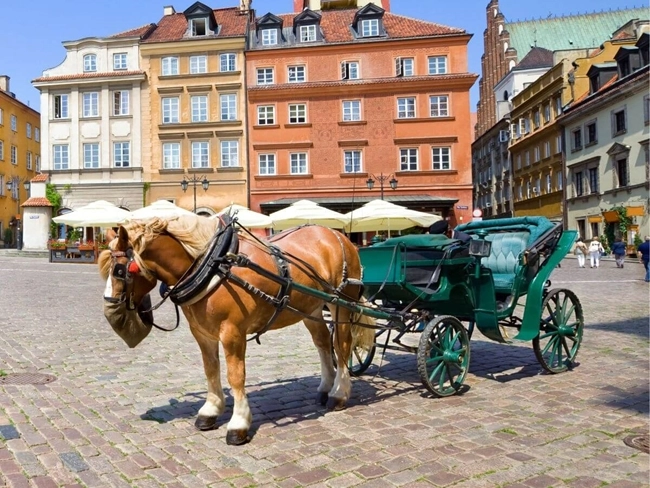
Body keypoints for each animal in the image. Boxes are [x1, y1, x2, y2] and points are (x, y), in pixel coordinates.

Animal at [98, 215, 378, 444]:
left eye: (120, 270)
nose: (110, 310)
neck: (212, 265)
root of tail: (338, 236)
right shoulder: (202, 333)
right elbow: (211, 370)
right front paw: (210, 411)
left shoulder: (232, 333)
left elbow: (235, 376)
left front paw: (239, 423)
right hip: (312, 308)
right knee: (322, 344)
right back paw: (325, 387)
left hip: (341, 304)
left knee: (342, 345)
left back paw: (339, 393)